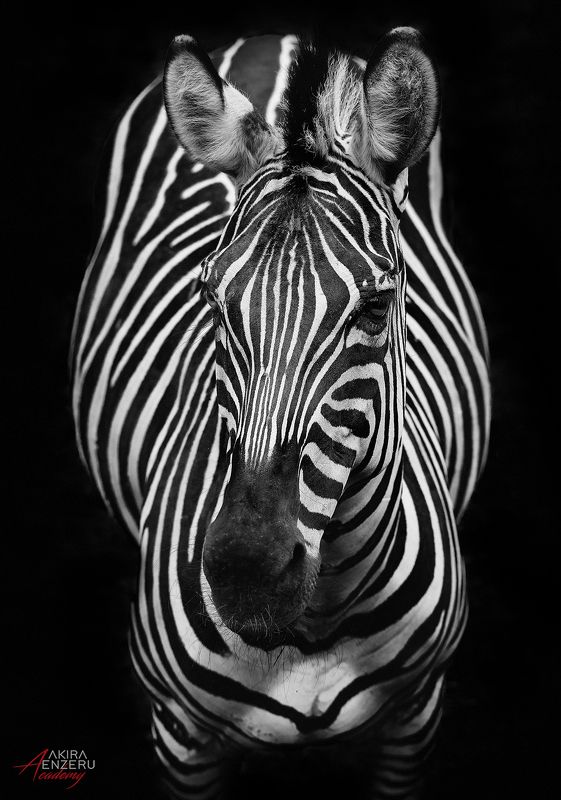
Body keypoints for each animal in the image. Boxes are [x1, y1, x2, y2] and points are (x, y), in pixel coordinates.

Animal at [71, 28, 490, 799]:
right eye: (209, 300)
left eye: (375, 307)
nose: (245, 573)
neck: (313, 626)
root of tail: (278, 39)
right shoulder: (179, 736)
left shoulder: (414, 719)